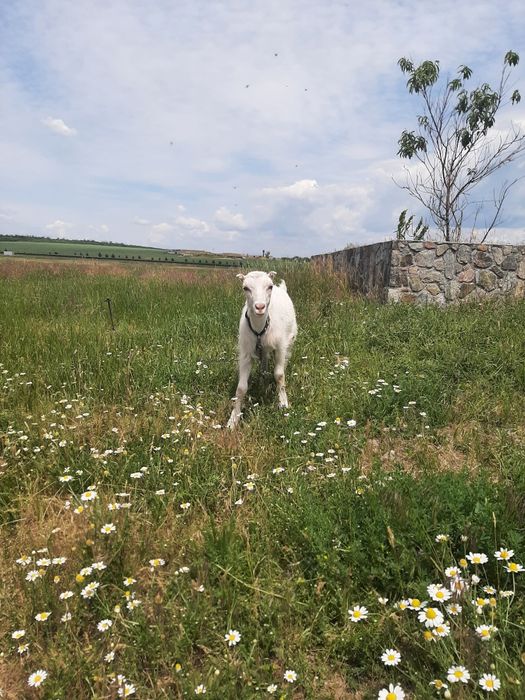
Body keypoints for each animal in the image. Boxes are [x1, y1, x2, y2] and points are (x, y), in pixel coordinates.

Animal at [227, 270, 297, 428]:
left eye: (269, 287)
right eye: (245, 288)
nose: (260, 307)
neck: (260, 328)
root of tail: (281, 288)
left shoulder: (280, 347)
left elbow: (279, 375)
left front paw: (283, 403)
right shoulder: (246, 353)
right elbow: (241, 388)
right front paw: (233, 419)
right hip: (262, 348)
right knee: (264, 358)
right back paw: (263, 375)